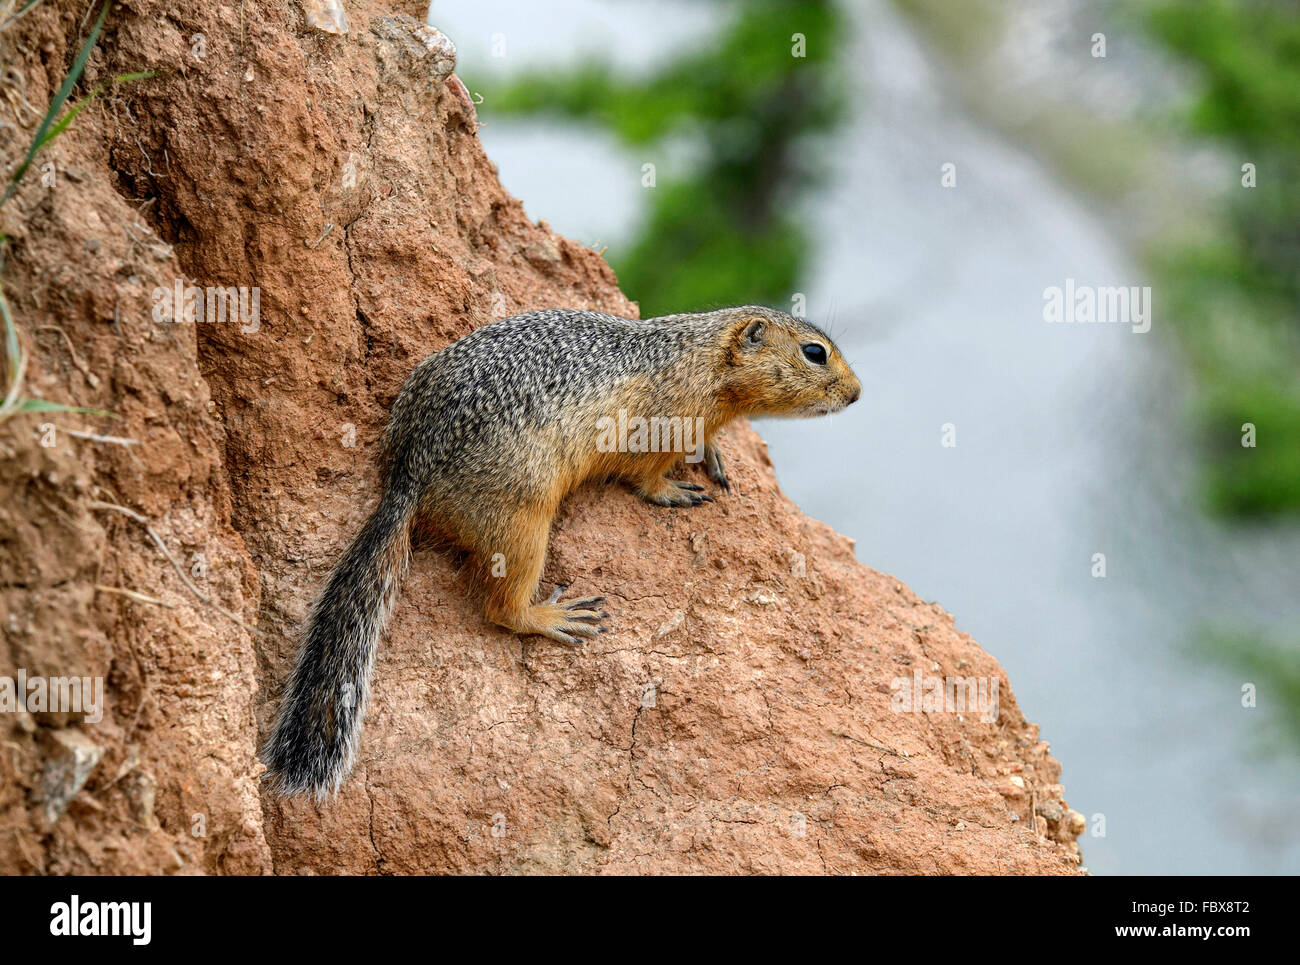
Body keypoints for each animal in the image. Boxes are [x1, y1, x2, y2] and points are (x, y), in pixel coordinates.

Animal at [258, 304, 857, 801]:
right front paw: (674, 490)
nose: (857, 395)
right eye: (814, 352)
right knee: (499, 608)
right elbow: (646, 478)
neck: (699, 357)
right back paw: (552, 616)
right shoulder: (655, 430)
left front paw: (712, 453)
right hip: (522, 522)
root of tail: (408, 474)